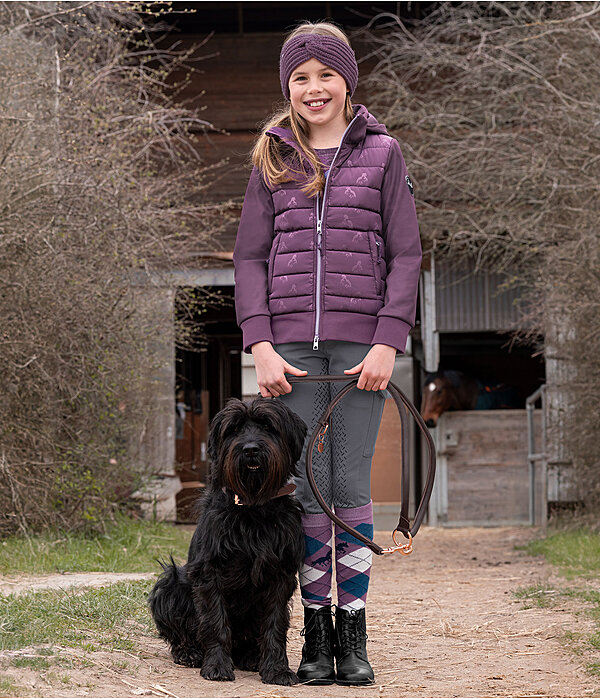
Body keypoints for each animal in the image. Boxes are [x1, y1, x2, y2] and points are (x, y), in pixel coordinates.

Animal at [149, 396, 308, 688]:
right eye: (233, 429)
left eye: (268, 426)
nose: (250, 449)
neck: (253, 508)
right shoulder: (209, 573)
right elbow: (215, 622)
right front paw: (217, 665)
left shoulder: (280, 575)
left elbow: (275, 624)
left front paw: (277, 669)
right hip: (171, 583)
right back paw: (189, 652)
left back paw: (251, 656)